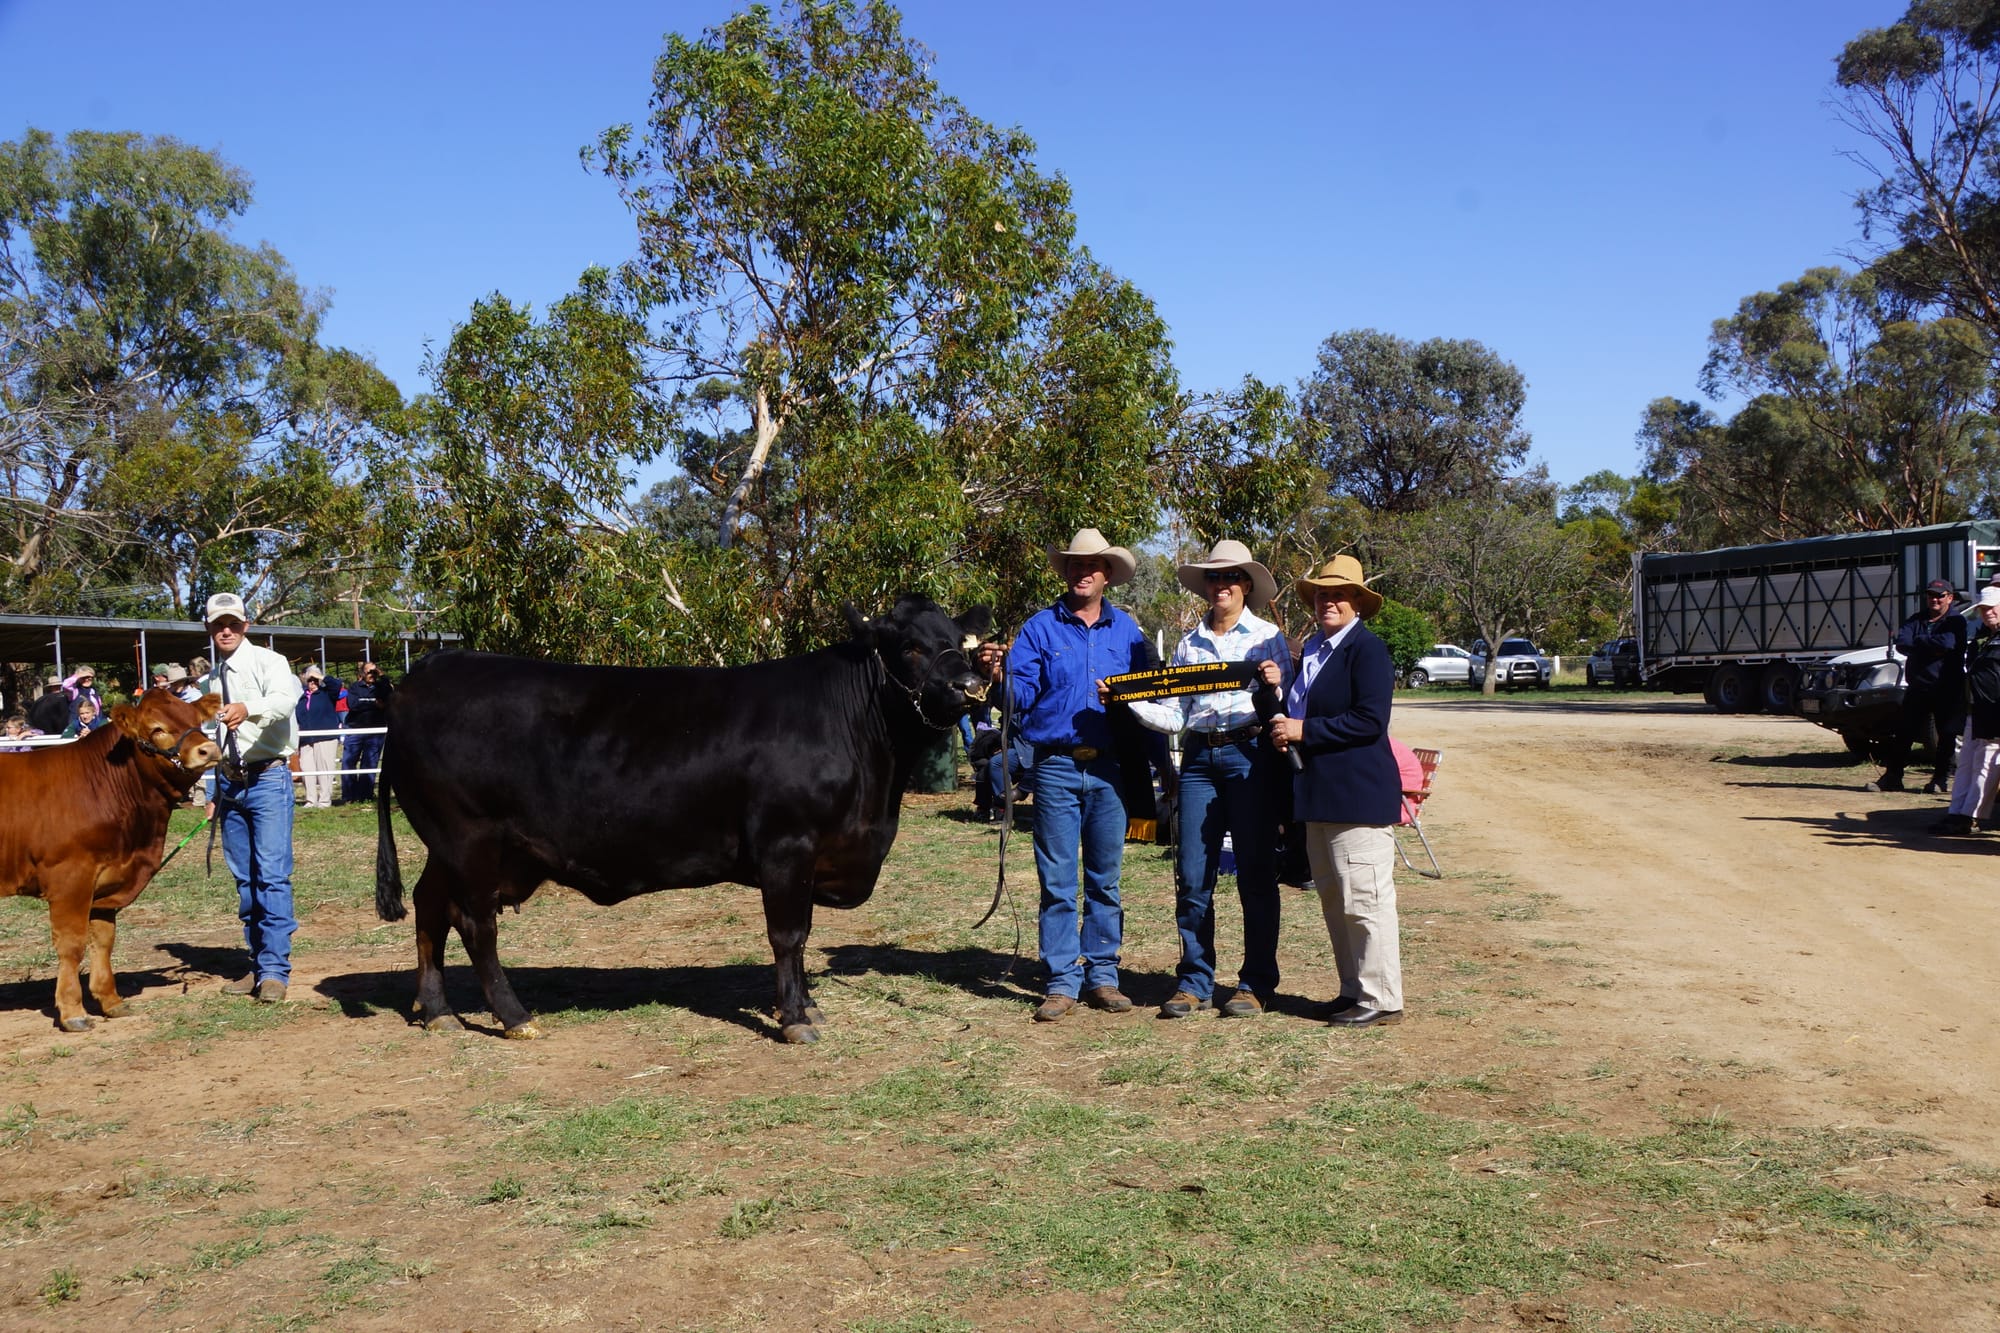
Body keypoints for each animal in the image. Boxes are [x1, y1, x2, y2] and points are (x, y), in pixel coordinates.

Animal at [0, 690, 223, 1031]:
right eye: (157, 729)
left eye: (197, 721)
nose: (208, 749)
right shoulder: (70, 878)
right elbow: (72, 944)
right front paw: (73, 1012)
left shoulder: (107, 882)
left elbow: (103, 941)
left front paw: (111, 1001)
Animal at [375, 594, 991, 1043]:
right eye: (910, 647)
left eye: (959, 642)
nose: (971, 687)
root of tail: (428, 668)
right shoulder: (786, 845)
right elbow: (788, 933)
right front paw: (794, 1019)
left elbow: (803, 933)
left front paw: (806, 1005)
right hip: (469, 837)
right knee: (476, 923)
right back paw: (515, 1016)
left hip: (445, 845)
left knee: (430, 907)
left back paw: (437, 1011)